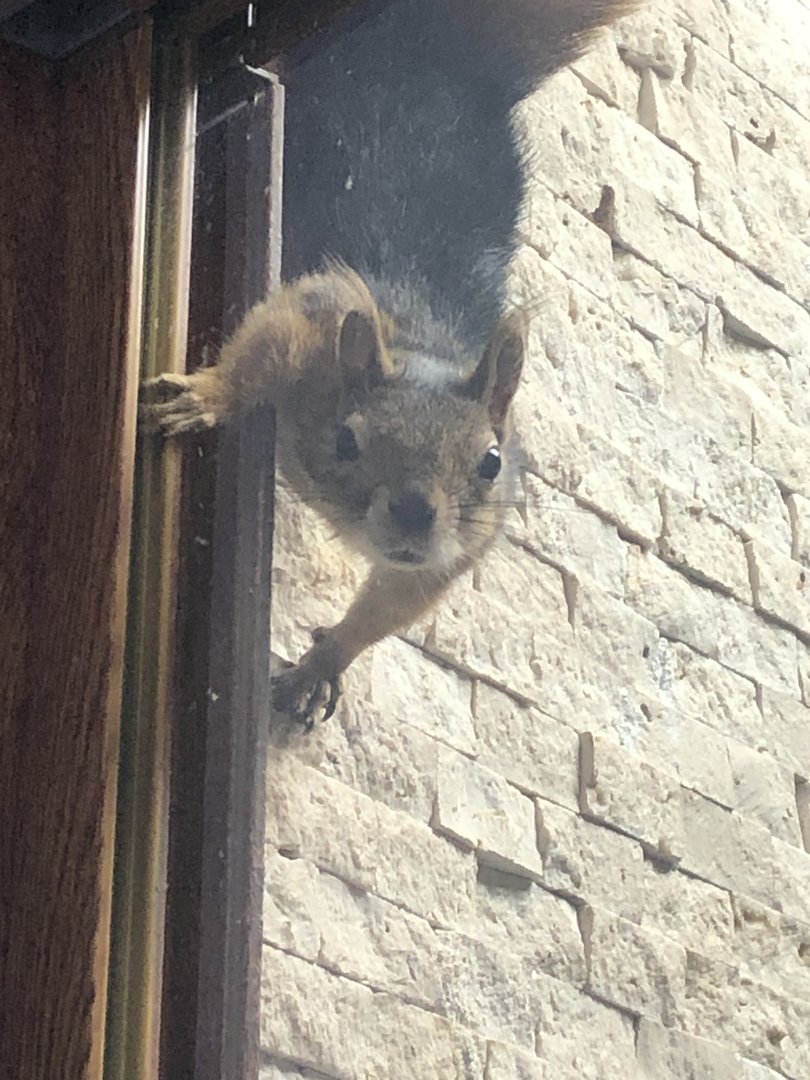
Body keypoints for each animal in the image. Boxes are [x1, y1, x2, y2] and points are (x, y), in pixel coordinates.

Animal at [141, 0, 636, 726]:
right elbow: (263, 344)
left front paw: (324, 662)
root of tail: (442, 55)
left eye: (491, 462)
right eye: (348, 440)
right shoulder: (316, 323)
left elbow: (399, 599)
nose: (412, 514)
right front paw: (204, 396)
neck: (421, 346)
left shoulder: (461, 542)